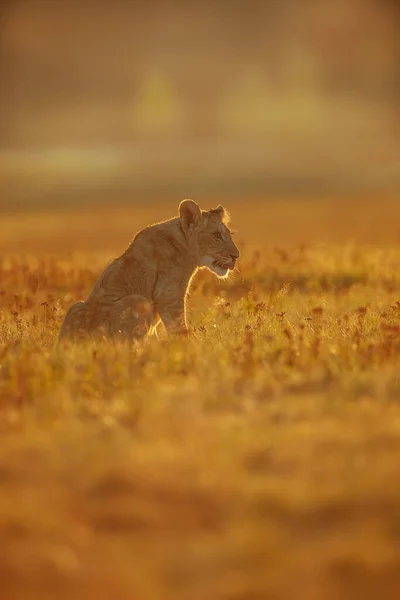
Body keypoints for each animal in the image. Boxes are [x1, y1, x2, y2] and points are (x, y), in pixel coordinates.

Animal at [57, 199, 239, 342]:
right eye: (216, 235)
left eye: (229, 234)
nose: (236, 256)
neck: (184, 242)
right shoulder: (168, 294)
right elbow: (179, 327)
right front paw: (191, 348)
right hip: (138, 301)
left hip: (75, 306)